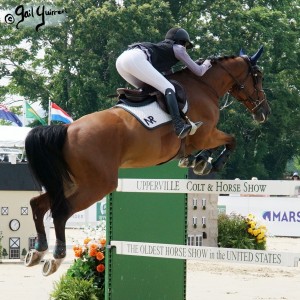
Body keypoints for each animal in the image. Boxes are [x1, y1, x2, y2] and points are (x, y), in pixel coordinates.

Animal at [24, 46, 270, 274]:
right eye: (258, 76)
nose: (264, 112)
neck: (204, 86)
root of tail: (67, 129)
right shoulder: (206, 134)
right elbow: (231, 140)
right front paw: (210, 163)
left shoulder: (202, 138)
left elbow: (205, 149)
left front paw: (198, 161)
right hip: (97, 185)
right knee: (61, 212)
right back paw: (56, 257)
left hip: (72, 182)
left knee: (37, 204)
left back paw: (38, 251)